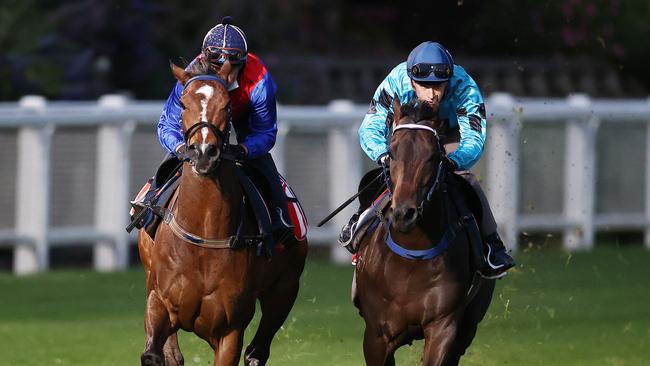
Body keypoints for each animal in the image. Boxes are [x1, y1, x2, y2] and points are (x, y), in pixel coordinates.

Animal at [136, 60, 306, 366]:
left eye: (227, 106)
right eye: (182, 103)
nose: (203, 152)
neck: (203, 233)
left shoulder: (230, 329)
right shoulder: (159, 301)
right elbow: (152, 353)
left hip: (285, 289)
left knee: (257, 351)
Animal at [352, 98, 494, 364]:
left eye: (433, 156)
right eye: (392, 152)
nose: (403, 213)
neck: (412, 255)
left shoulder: (444, 326)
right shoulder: (376, 335)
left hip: (469, 325)